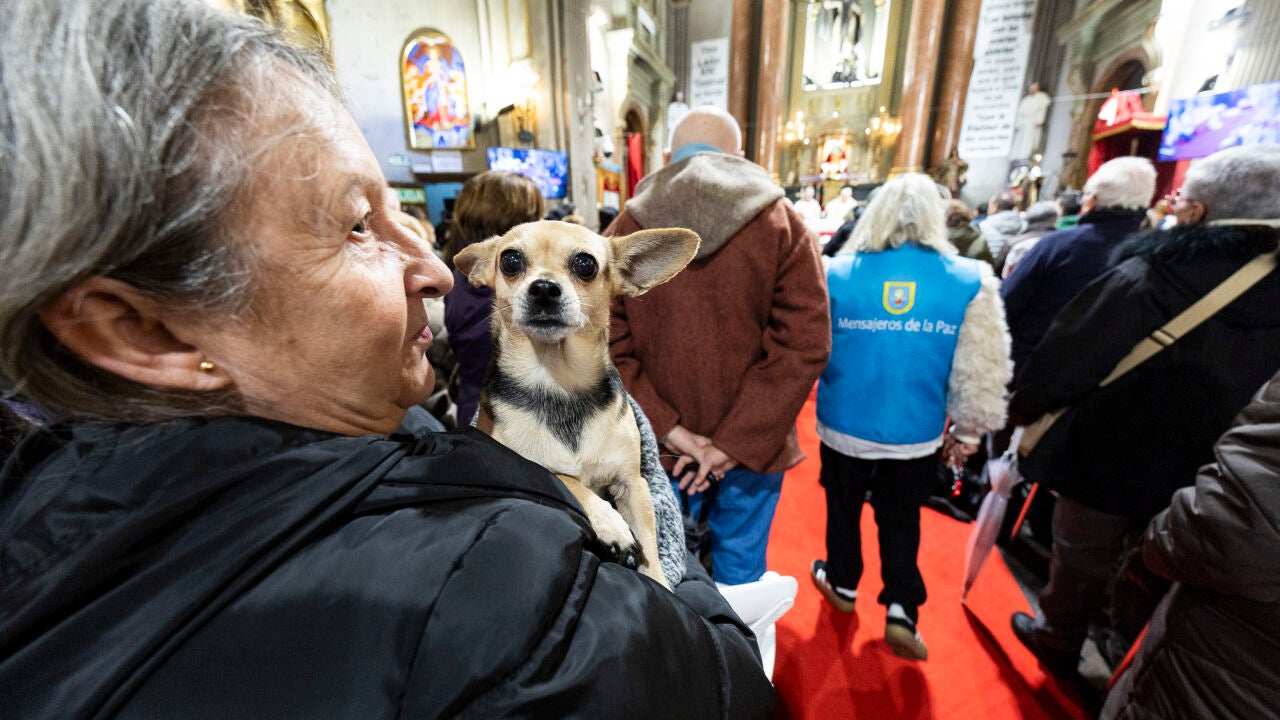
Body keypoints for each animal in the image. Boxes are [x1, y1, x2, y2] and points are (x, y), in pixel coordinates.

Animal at [454, 220, 699, 589]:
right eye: (510, 260)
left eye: (585, 264)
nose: (543, 287)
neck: (559, 384)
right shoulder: (524, 463)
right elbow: (564, 477)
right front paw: (610, 524)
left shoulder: (633, 484)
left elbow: (650, 546)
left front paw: (658, 582)